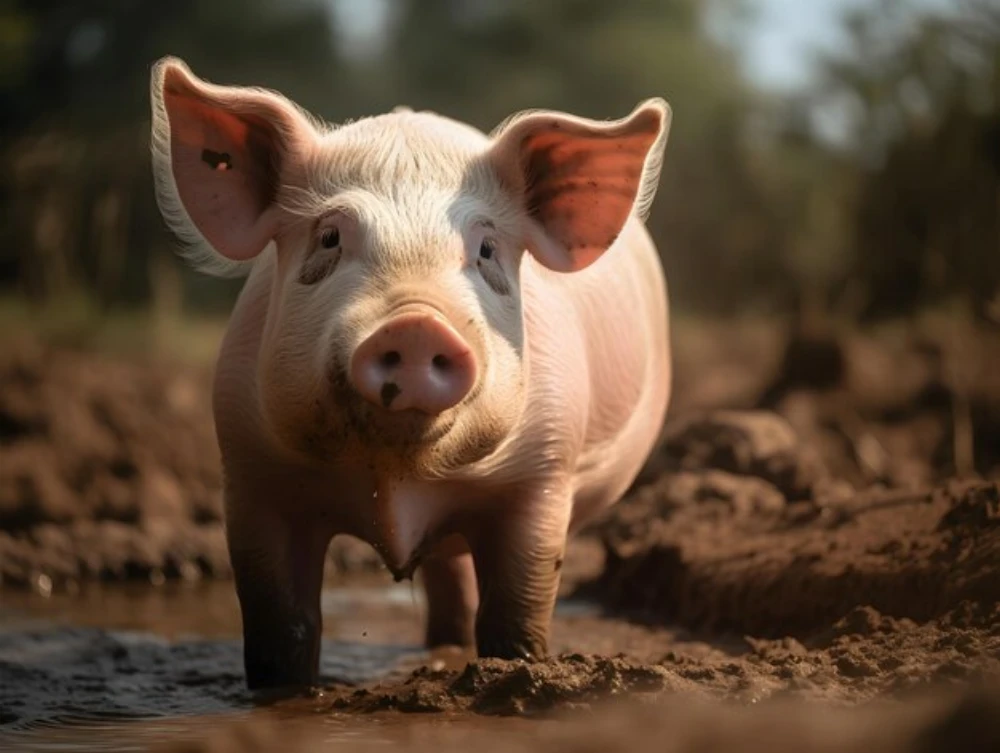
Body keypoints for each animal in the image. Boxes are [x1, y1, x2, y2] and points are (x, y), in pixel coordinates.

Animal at [149, 56, 672, 690]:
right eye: (329, 237)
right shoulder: (252, 473)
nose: (416, 323)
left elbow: (516, 616)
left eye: (487, 250)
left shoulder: (544, 474)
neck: (398, 476)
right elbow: (282, 626)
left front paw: (517, 670)